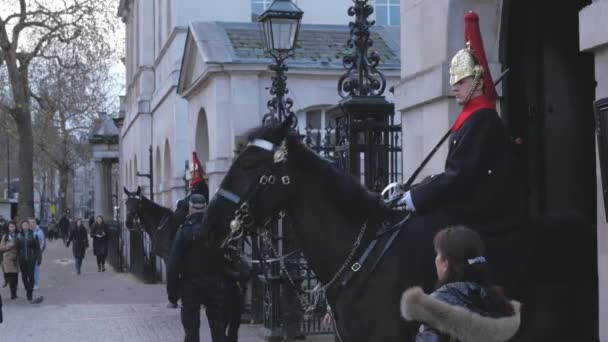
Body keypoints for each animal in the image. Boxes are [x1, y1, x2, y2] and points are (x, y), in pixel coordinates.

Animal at [123, 187, 245, 342]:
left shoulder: (169, 256)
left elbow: (174, 275)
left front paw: (174, 300)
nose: (128, 223)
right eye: (126, 202)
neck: (160, 224)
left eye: (137, 203)